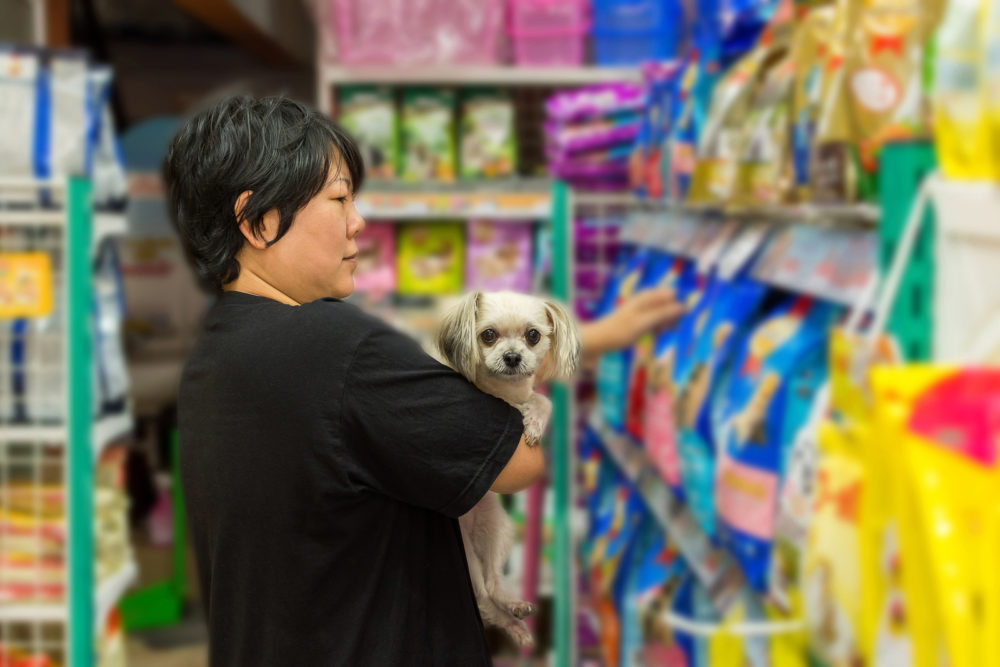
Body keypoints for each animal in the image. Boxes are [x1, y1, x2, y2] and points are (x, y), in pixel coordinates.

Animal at [434, 290, 584, 648]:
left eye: (533, 335)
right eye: (488, 335)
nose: (513, 357)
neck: (503, 391)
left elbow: (543, 401)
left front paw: (534, 423)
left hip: (496, 529)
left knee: (492, 586)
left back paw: (514, 612)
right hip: (469, 556)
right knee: (484, 593)